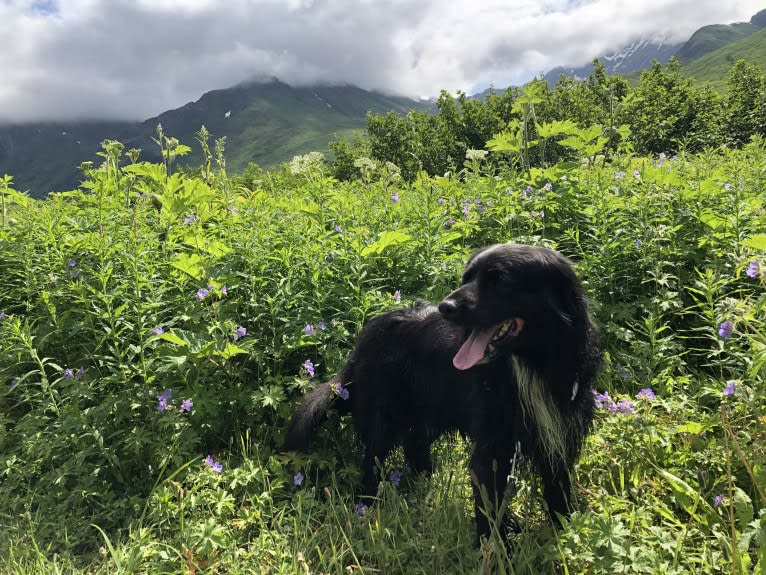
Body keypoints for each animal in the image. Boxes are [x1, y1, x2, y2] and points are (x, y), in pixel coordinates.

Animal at [284, 245, 604, 544]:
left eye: (499, 280)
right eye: (467, 277)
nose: (445, 307)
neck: (529, 365)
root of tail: (364, 337)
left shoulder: (557, 438)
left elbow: (558, 492)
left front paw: (564, 533)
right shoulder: (492, 448)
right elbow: (490, 511)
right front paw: (495, 550)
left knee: (414, 448)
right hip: (383, 418)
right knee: (372, 464)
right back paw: (367, 507)